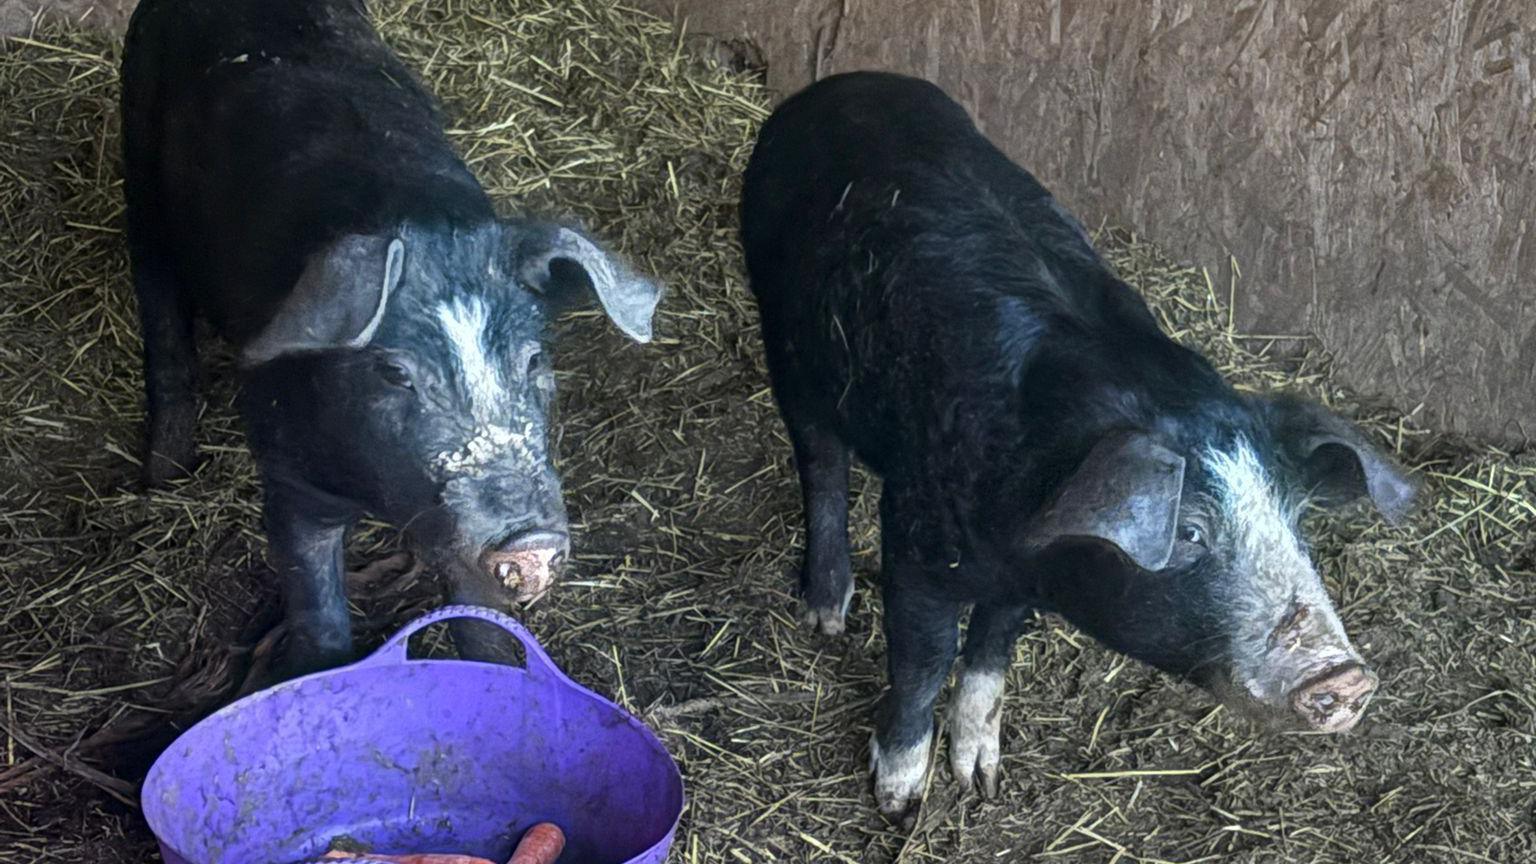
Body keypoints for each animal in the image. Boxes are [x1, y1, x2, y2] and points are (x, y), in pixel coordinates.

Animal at [120, 0, 660, 674]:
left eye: (534, 360)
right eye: (395, 372)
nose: (530, 541)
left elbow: (478, 622)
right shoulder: (290, 476)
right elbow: (317, 607)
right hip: (138, 152)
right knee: (161, 313)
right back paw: (162, 477)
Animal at [740, 72, 1417, 823]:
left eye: (1294, 519)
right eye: (1189, 531)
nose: (1347, 677)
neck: (1027, 546)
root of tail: (838, 86)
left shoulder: (1024, 579)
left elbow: (991, 654)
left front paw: (981, 781)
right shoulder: (913, 540)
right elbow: (922, 662)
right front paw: (899, 801)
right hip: (786, 341)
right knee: (820, 464)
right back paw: (826, 616)